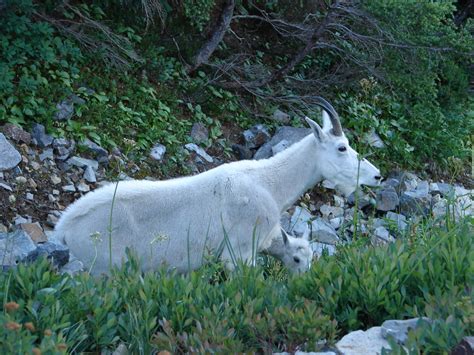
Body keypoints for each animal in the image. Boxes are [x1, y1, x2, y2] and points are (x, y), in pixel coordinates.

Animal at [55, 98, 382, 276]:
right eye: (342, 147)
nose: (377, 176)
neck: (269, 184)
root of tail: (63, 230)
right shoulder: (240, 254)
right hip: (101, 271)